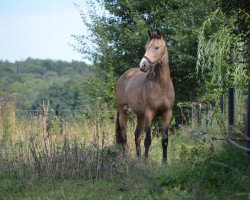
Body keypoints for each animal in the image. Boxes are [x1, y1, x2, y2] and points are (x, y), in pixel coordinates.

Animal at [114, 30, 174, 162]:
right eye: (146, 47)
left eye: (156, 47)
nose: (143, 65)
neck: (161, 85)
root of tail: (123, 76)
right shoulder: (149, 113)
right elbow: (148, 140)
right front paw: (146, 161)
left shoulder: (167, 113)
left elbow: (165, 140)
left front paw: (165, 162)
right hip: (123, 111)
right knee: (124, 136)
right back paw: (125, 158)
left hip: (140, 116)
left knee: (137, 135)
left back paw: (138, 158)